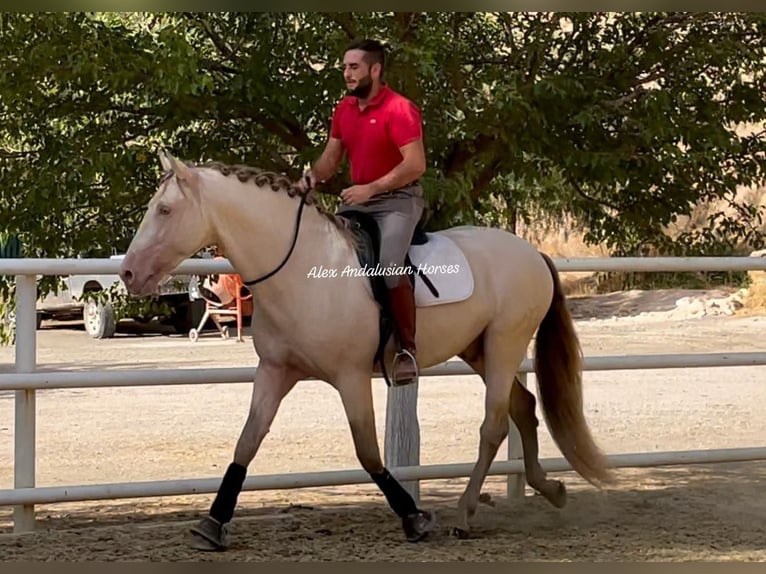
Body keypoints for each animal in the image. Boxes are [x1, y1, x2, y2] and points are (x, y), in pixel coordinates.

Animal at [120, 153, 616, 552]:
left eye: (165, 210)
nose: (127, 273)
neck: (302, 268)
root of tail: (533, 253)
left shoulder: (351, 377)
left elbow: (367, 452)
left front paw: (414, 518)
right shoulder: (276, 371)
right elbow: (247, 442)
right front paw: (212, 523)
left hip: (504, 343)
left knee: (494, 423)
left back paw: (466, 513)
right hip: (477, 349)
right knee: (524, 406)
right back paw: (549, 489)